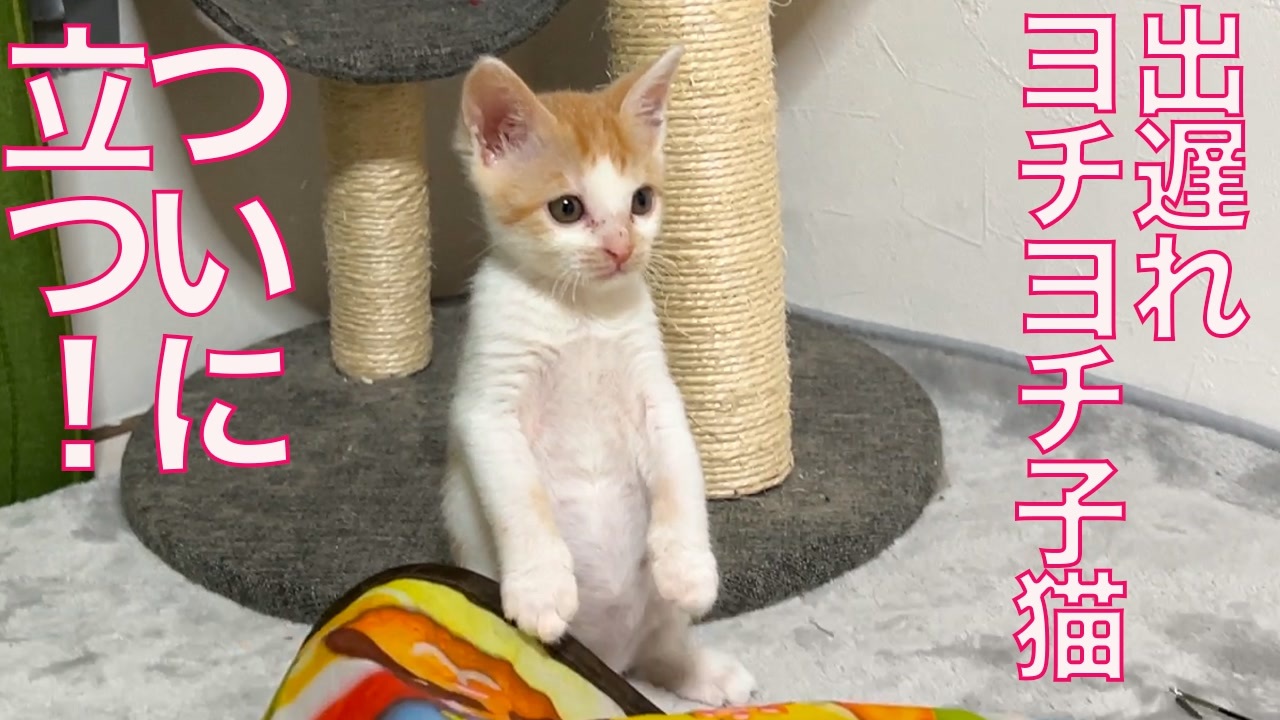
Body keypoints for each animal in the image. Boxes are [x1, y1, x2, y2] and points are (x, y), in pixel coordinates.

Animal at [439, 46, 756, 707]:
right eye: (567, 208)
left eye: (641, 201)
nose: (620, 247)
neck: (580, 313)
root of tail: (610, 660)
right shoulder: (487, 405)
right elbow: (521, 499)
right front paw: (541, 587)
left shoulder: (658, 392)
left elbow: (680, 471)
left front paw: (689, 563)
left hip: (655, 622)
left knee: (661, 649)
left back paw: (703, 670)